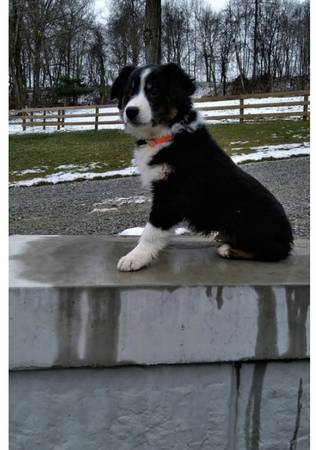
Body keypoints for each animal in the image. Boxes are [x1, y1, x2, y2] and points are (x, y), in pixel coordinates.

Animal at [111, 62, 294, 270]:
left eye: (154, 92)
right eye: (129, 92)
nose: (130, 111)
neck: (165, 134)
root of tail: (288, 237)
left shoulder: (171, 193)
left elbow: (152, 230)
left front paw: (134, 258)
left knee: (274, 252)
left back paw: (228, 250)